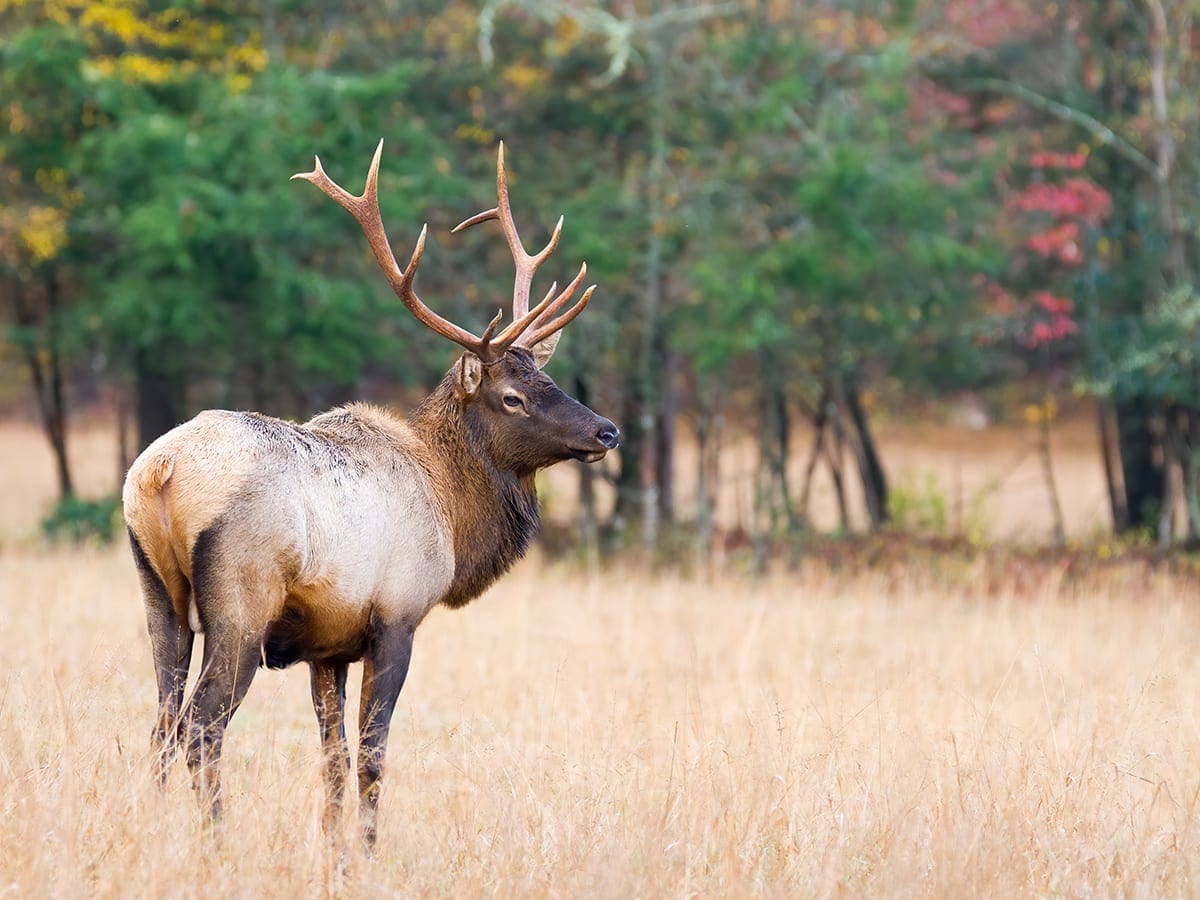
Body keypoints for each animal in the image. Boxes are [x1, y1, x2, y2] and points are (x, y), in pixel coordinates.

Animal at [121, 141, 619, 844]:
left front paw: (334, 849)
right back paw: (214, 839)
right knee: (201, 727)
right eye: (512, 397)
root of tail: (161, 471)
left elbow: (332, 761)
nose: (607, 430)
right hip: (240, 605)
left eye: (547, 378)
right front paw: (368, 849)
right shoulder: (396, 618)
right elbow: (373, 757)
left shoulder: (328, 647)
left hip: (158, 594)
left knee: (161, 725)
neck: (449, 508)